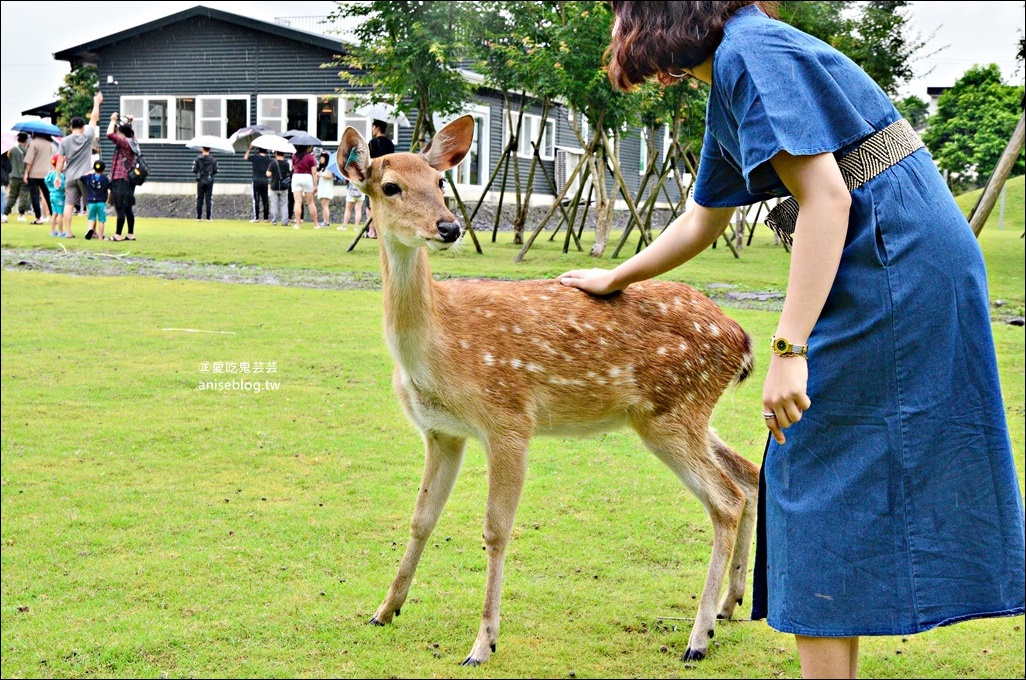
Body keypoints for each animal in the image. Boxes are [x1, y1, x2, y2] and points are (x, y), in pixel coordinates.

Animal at [340, 115, 759, 664]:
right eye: (390, 186)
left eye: (439, 183)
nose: (449, 227)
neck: (438, 350)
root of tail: (741, 338)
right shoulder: (441, 432)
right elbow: (421, 519)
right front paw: (384, 610)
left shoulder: (509, 418)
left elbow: (496, 530)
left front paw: (483, 643)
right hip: (683, 413)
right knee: (749, 474)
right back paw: (731, 605)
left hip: (671, 412)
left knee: (726, 499)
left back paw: (698, 637)